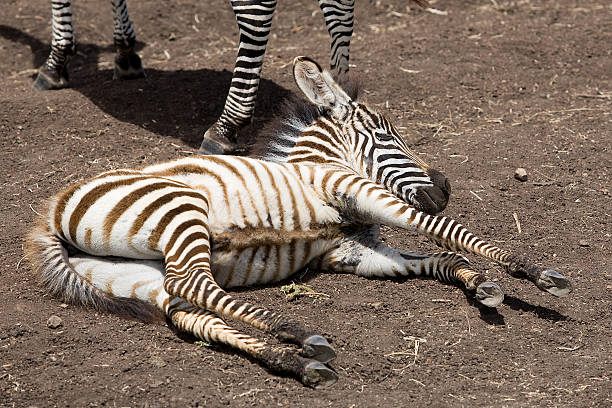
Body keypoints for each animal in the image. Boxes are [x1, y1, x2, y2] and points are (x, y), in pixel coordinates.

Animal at [22, 55, 568, 388]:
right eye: (385, 136)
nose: (445, 188)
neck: (321, 162)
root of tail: (48, 214)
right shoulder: (356, 190)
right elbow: (449, 233)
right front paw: (534, 272)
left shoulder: (355, 252)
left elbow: (442, 258)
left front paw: (481, 285)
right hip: (178, 210)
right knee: (194, 282)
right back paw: (298, 330)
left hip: (131, 275)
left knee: (191, 309)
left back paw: (295, 356)